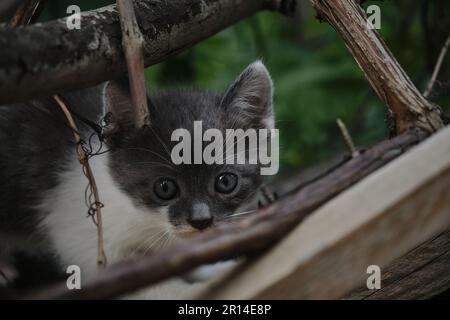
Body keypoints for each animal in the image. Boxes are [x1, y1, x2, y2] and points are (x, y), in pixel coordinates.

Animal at [0, 60, 274, 298]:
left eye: (225, 182)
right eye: (165, 187)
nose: (201, 221)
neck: (141, 218)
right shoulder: (84, 240)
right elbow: (149, 288)